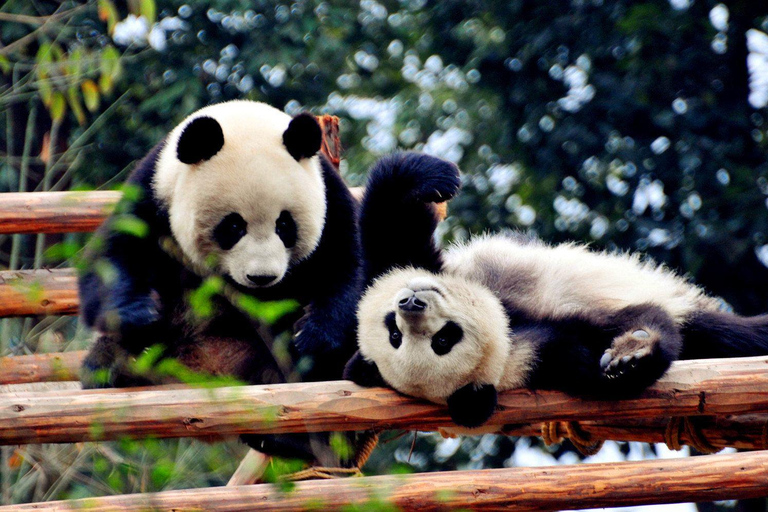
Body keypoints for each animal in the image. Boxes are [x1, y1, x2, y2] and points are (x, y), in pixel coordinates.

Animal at [78, 100, 362, 463]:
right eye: (233, 226)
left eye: (285, 224)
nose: (262, 277)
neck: (243, 120)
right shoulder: (152, 191)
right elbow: (113, 256)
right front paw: (139, 315)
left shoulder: (330, 199)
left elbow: (351, 268)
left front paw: (313, 334)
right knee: (108, 356)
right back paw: (115, 366)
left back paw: (290, 439)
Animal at [344, 161, 768, 429]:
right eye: (441, 342)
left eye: (392, 331)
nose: (410, 303)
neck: (507, 326)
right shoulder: (546, 357)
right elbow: (620, 343)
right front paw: (633, 356)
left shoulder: (400, 263)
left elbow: (388, 222)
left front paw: (432, 176)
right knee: (725, 333)